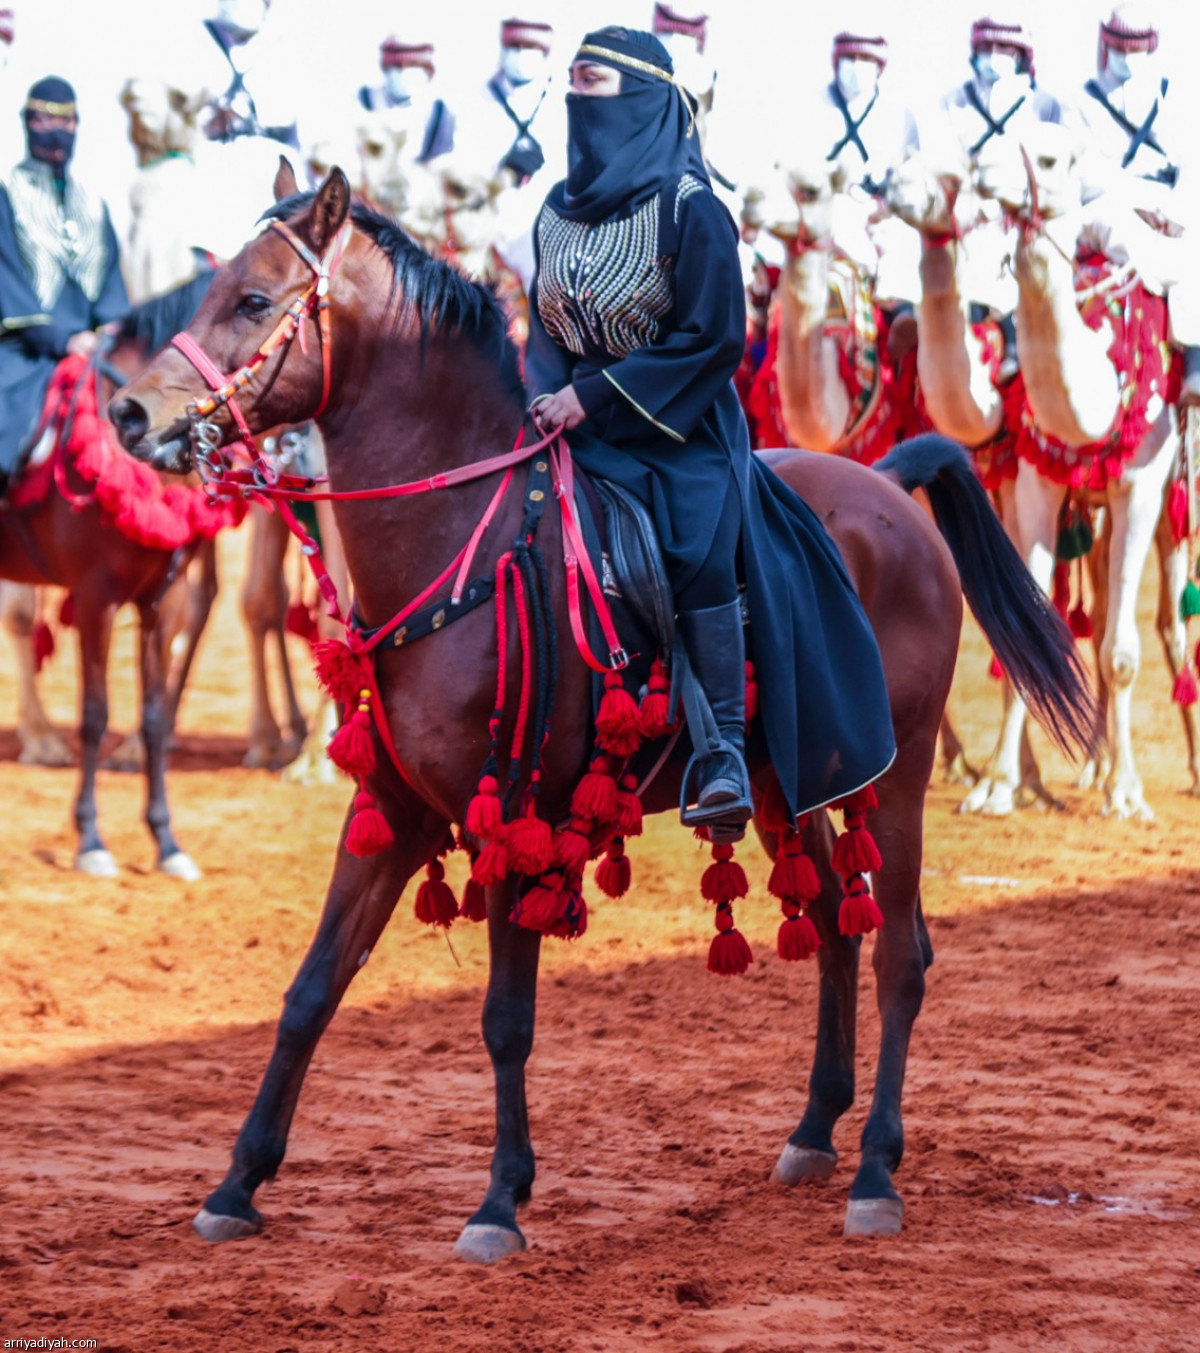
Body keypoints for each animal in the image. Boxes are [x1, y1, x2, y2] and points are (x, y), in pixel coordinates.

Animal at [112, 166, 1098, 1255]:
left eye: (253, 299)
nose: (128, 413)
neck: (466, 533)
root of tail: (884, 486)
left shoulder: (515, 819)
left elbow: (505, 1017)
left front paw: (499, 1200)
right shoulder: (394, 813)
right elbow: (310, 992)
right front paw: (237, 1183)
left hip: (900, 777)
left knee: (900, 955)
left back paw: (877, 1169)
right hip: (790, 780)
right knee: (840, 928)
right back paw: (813, 1130)